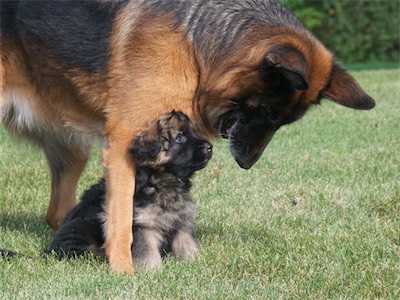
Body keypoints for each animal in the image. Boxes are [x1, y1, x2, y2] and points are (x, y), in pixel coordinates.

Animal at [47, 110, 212, 270]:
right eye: (179, 138)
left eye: (194, 133)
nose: (209, 147)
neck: (161, 182)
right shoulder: (144, 225)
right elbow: (148, 252)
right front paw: (151, 270)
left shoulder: (181, 223)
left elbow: (188, 245)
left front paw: (196, 262)